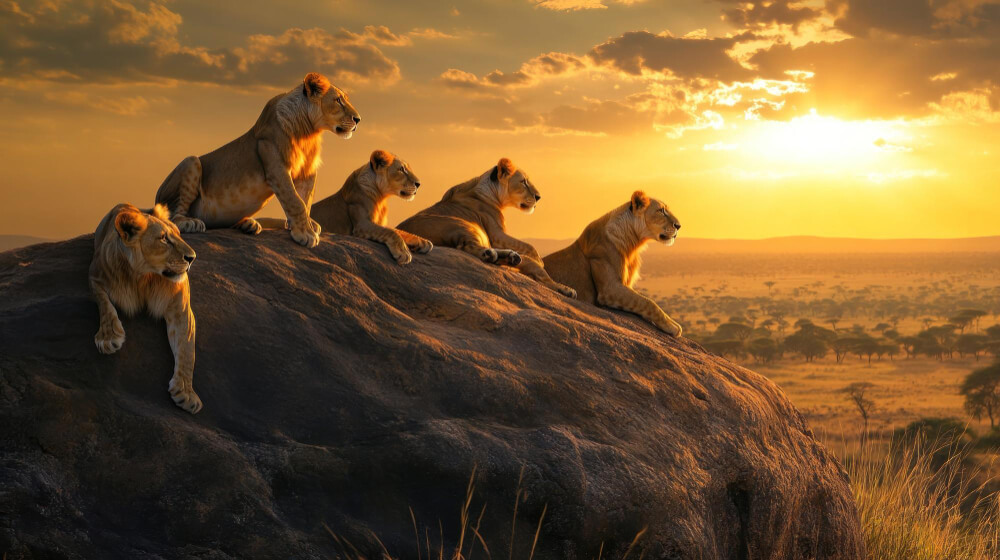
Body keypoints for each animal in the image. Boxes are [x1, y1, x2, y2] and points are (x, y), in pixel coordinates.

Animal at [89, 203, 202, 414]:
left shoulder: (181, 307)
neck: (145, 276)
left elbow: (187, 349)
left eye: (179, 235)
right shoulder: (95, 274)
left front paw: (186, 392)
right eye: (164, 238)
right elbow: (104, 303)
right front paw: (108, 337)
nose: (192, 257)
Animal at [154, 72, 361, 248]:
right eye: (338, 100)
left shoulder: (307, 172)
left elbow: (306, 200)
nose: (358, 119)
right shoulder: (275, 163)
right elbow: (295, 201)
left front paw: (307, 225)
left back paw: (250, 224)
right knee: (172, 216)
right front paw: (305, 234)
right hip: (191, 162)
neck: (309, 133)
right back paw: (189, 222)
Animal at [397, 158, 576, 297]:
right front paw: (540, 261)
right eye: (523, 181)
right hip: (462, 225)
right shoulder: (496, 234)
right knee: (468, 246)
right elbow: (530, 247)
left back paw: (511, 257)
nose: (538, 197)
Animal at [543, 191, 684, 336]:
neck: (633, 244)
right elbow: (647, 302)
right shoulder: (609, 288)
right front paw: (672, 326)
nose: (679, 226)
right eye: (661, 210)